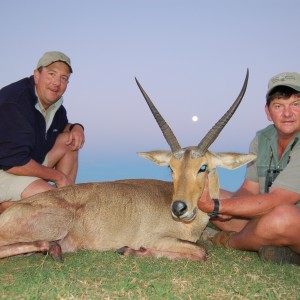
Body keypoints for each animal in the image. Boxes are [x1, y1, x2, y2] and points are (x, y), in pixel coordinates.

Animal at [0, 69, 255, 260]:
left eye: (203, 167)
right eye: (171, 168)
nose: (179, 208)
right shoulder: (157, 238)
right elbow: (201, 251)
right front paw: (131, 250)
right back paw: (51, 248)